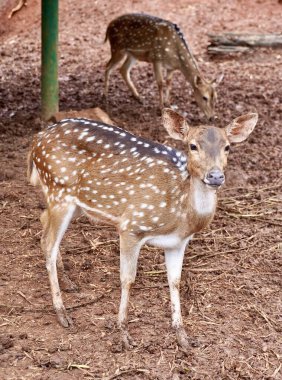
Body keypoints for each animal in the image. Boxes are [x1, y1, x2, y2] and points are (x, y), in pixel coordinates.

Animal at [27, 108, 256, 352]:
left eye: (227, 147)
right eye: (193, 146)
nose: (215, 176)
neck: (181, 212)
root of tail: (37, 139)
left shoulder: (178, 243)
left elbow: (175, 280)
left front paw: (182, 336)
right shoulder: (131, 226)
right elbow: (127, 279)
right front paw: (124, 334)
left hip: (75, 203)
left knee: (43, 221)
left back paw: (68, 282)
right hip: (58, 190)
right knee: (48, 243)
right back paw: (62, 313)